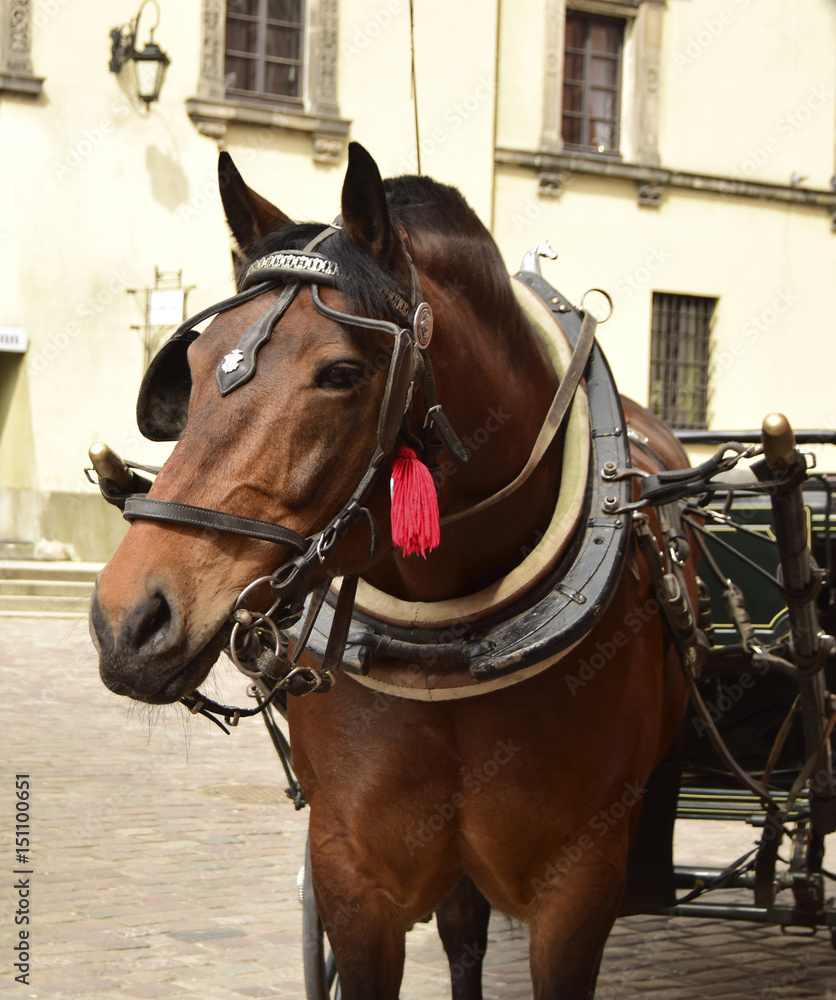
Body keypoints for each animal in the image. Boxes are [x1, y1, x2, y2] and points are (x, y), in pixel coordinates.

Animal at [90, 143, 692, 1000]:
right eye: (198, 362)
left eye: (341, 372)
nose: (129, 619)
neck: (455, 645)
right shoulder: (351, 873)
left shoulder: (579, 888)